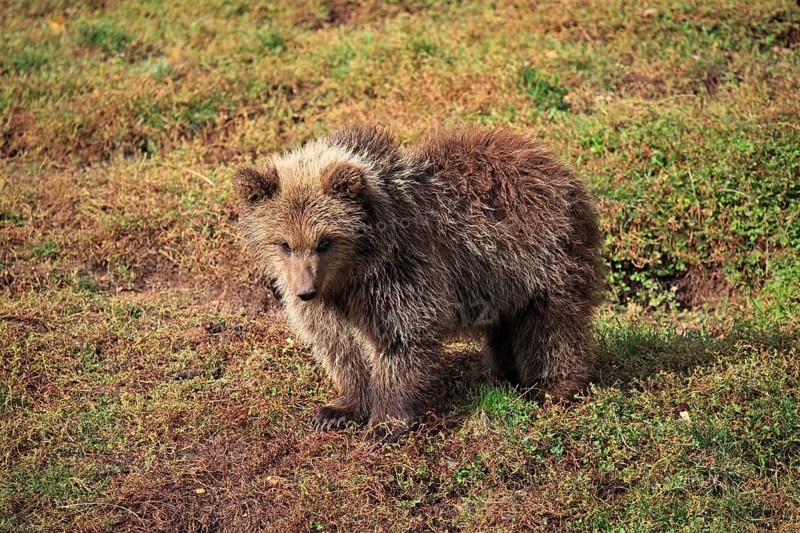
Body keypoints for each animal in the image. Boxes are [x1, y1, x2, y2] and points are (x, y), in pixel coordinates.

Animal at [233, 124, 603, 443]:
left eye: (324, 241)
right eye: (284, 243)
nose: (305, 291)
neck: (353, 270)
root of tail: (559, 166)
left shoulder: (401, 272)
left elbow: (402, 337)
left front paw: (384, 425)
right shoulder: (333, 300)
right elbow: (339, 346)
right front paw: (338, 409)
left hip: (543, 259)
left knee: (552, 327)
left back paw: (552, 388)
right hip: (501, 281)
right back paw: (501, 375)